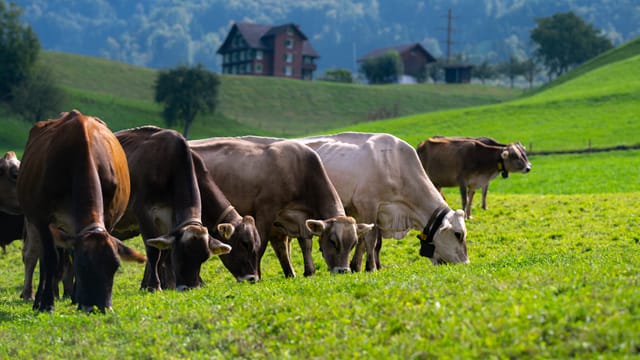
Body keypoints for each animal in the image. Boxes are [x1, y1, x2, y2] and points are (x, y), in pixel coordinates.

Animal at [15, 110, 146, 312]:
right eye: (82, 266)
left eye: (115, 266)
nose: (100, 307)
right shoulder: (43, 219)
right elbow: (50, 259)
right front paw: (47, 303)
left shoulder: (108, 217)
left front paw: (76, 298)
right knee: (43, 258)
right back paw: (38, 300)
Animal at [188, 137, 372, 278]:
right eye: (333, 241)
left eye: (353, 243)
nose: (343, 270)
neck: (300, 170)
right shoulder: (266, 211)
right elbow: (262, 244)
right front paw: (259, 275)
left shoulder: (298, 219)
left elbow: (303, 244)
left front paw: (306, 272)